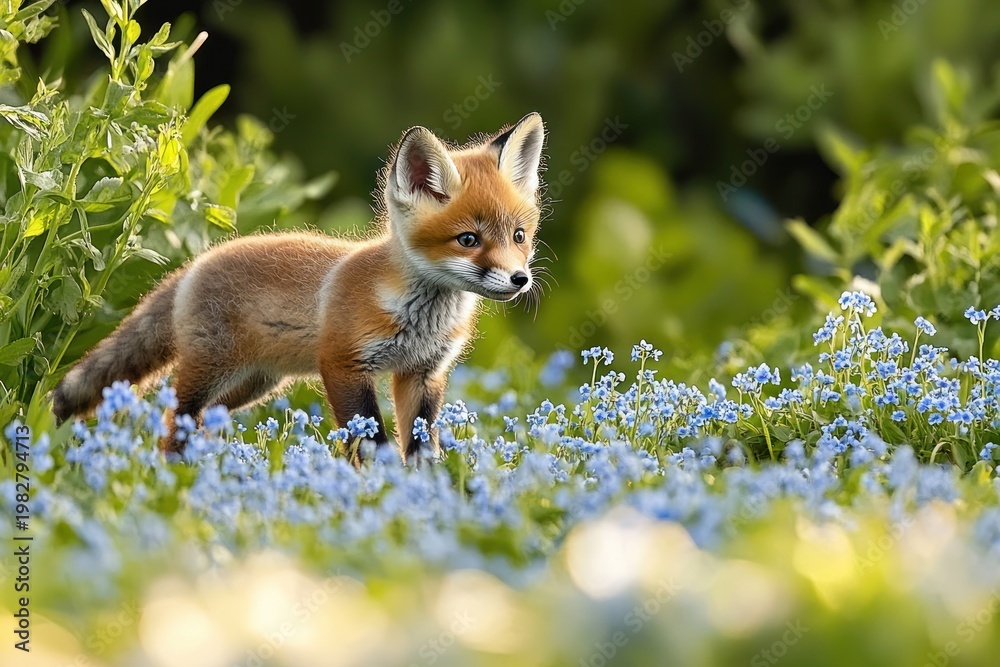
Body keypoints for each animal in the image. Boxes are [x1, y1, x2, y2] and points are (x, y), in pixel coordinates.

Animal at [52, 113, 546, 462]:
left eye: (519, 236)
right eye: (469, 240)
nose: (519, 280)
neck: (419, 314)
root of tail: (194, 263)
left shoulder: (422, 374)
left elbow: (422, 448)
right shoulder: (343, 363)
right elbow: (372, 443)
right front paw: (378, 491)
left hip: (253, 383)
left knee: (204, 423)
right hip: (209, 372)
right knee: (174, 420)